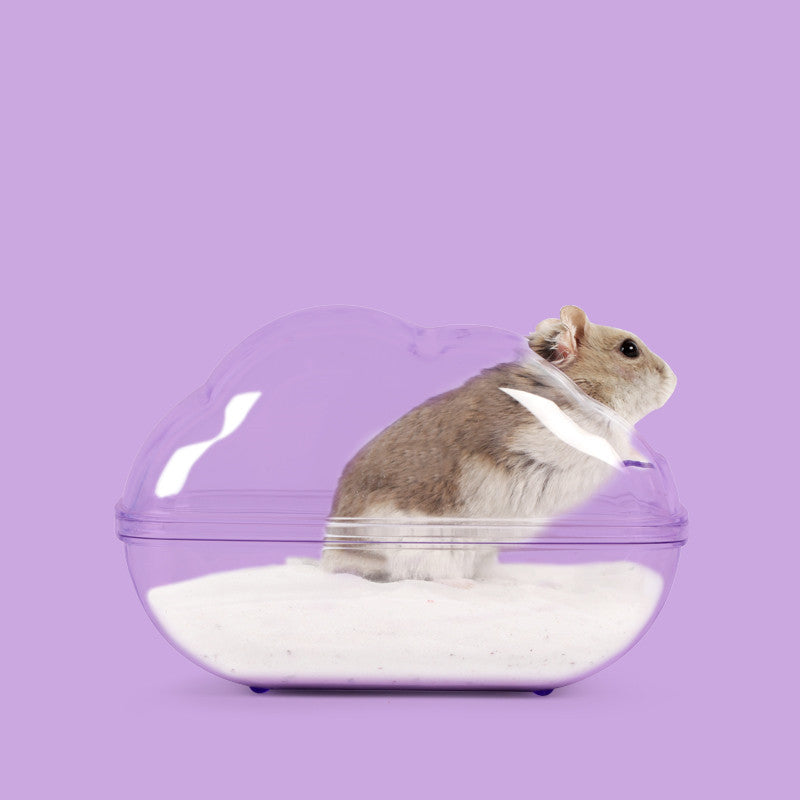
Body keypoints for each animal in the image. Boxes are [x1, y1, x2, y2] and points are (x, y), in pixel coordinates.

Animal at [321, 306, 677, 582]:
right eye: (629, 349)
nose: (673, 379)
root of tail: (338, 553)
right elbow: (607, 442)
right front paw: (639, 457)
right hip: (421, 544)